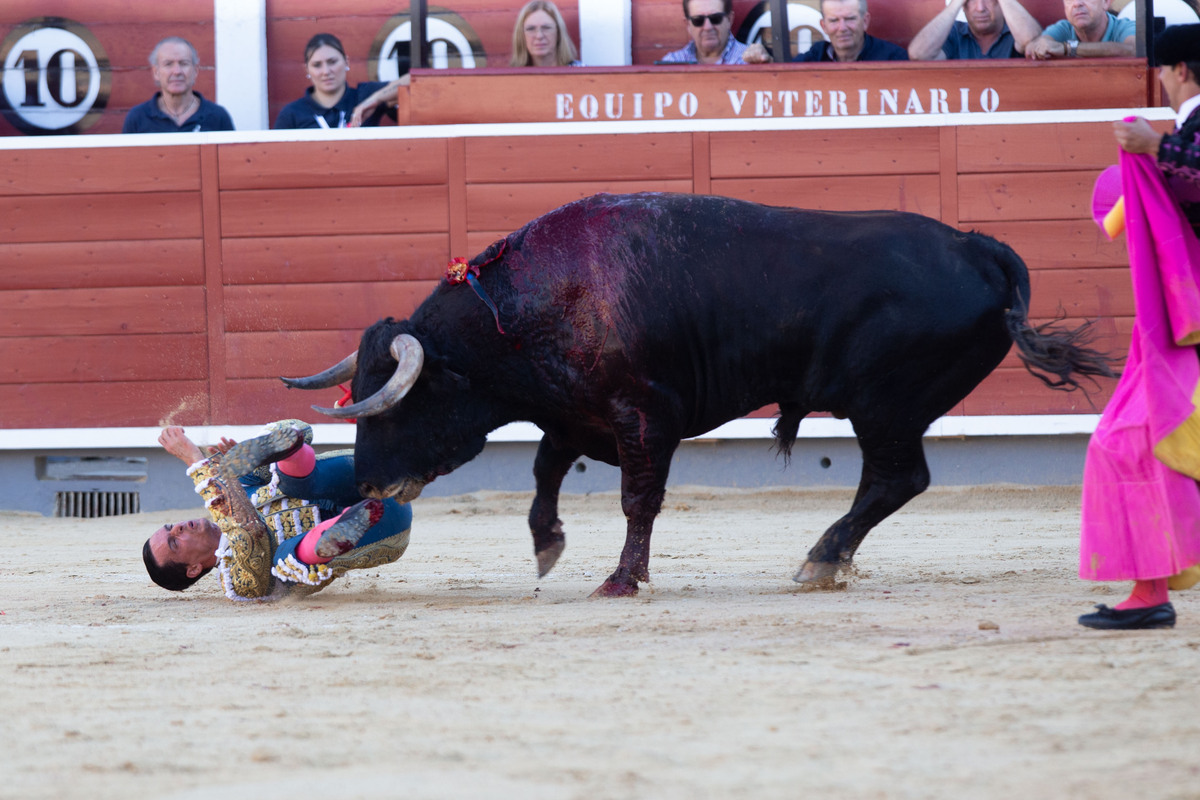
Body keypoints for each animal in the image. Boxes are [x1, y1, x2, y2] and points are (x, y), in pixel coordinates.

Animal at [285, 191, 1108, 594]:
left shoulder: (646, 414)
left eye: (402, 401)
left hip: (885, 406)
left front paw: (622, 580)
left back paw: (821, 558)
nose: (366, 484)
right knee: (893, 481)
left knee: (897, 478)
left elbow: (636, 498)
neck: (524, 310)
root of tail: (980, 247)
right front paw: (549, 547)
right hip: (889, 410)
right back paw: (827, 559)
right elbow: (546, 471)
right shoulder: (577, 412)